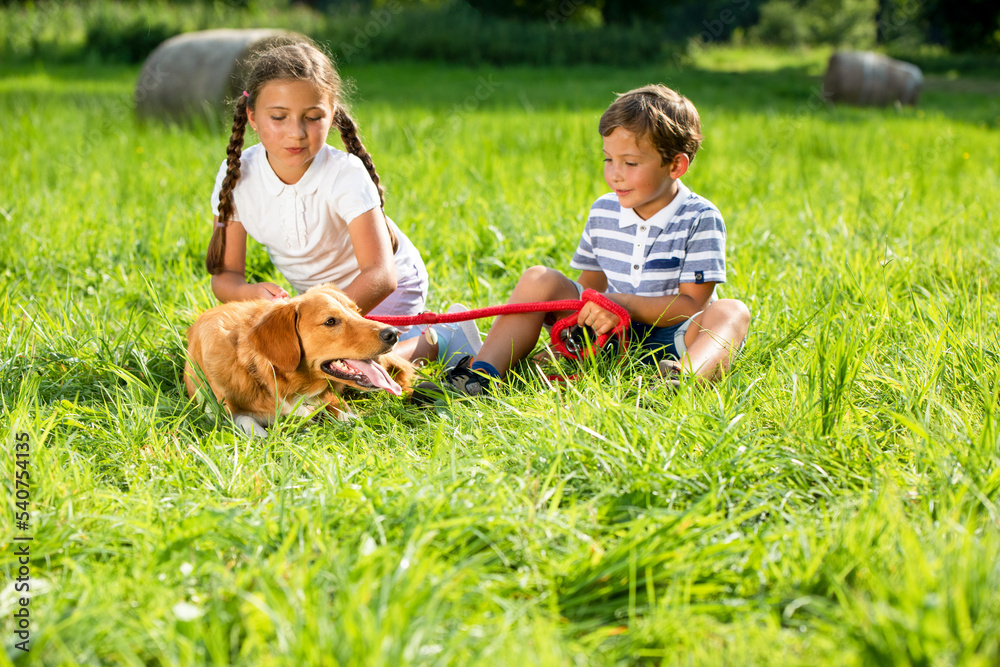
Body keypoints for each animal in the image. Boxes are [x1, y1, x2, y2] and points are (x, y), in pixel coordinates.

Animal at [183, 284, 410, 436]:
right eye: (330, 321)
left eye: (358, 312)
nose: (392, 333)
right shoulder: (217, 409)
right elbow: (245, 421)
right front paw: (265, 439)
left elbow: (339, 409)